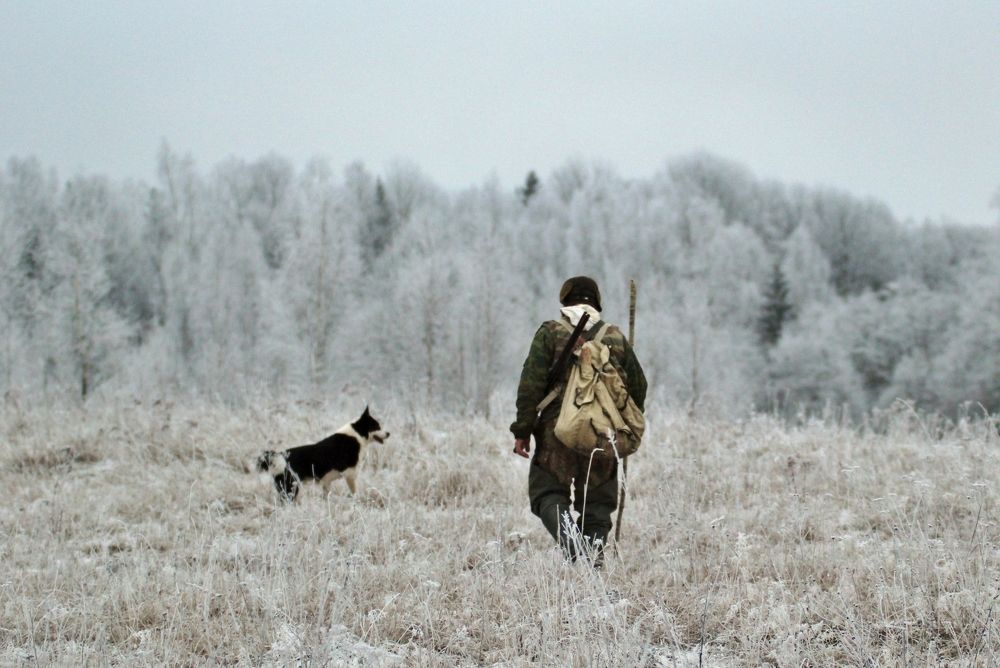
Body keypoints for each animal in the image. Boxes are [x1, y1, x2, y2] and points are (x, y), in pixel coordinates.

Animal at [256, 408, 388, 500]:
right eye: (377, 426)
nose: (388, 433)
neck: (357, 435)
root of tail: (278, 457)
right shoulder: (350, 474)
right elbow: (355, 493)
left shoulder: (327, 482)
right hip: (290, 488)